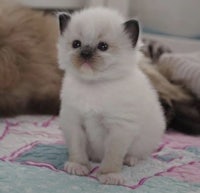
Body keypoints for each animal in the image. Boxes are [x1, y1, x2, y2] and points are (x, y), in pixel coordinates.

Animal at [57, 7, 165, 185]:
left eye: (103, 46)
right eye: (76, 44)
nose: (85, 53)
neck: (94, 85)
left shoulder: (119, 127)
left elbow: (112, 156)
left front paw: (109, 176)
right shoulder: (74, 121)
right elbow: (77, 149)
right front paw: (78, 167)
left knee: (137, 155)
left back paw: (130, 160)